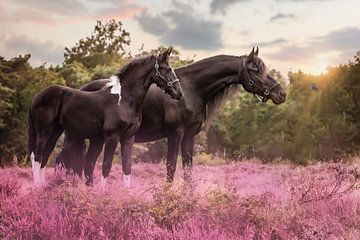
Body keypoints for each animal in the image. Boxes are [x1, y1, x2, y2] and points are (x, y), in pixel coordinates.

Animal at [27, 47, 183, 189]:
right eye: (168, 69)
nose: (179, 93)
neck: (124, 100)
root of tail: (36, 96)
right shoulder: (112, 137)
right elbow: (106, 166)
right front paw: (102, 194)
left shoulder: (128, 138)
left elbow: (127, 166)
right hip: (44, 131)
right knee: (37, 156)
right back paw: (38, 187)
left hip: (56, 131)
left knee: (45, 156)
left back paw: (43, 187)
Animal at [57, 47, 286, 186]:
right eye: (255, 70)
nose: (281, 93)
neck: (192, 89)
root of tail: (80, 89)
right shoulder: (175, 134)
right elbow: (171, 167)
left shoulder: (189, 137)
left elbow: (188, 170)